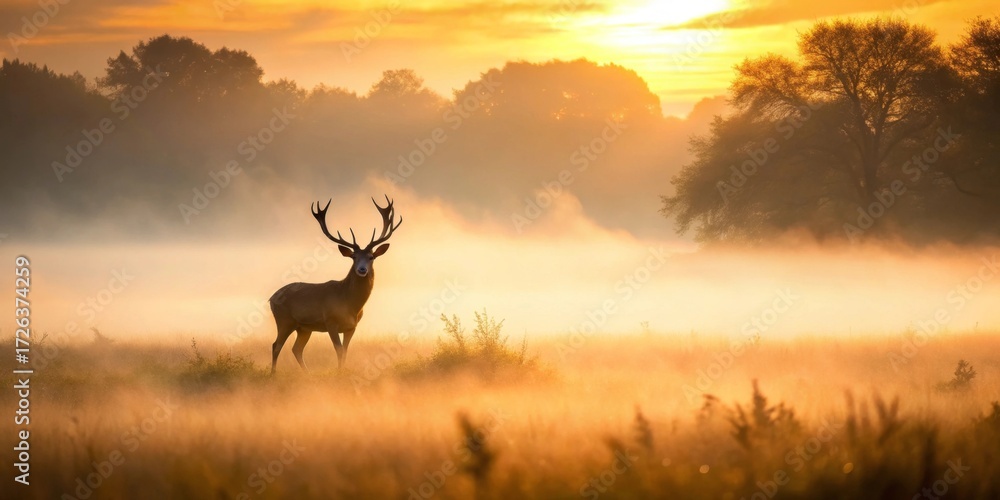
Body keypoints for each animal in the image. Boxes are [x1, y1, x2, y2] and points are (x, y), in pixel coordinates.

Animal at [268, 195, 402, 375]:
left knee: (296, 348)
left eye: (371, 257)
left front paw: (342, 371)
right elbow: (338, 349)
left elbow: (345, 351)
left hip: (304, 328)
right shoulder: (330, 321)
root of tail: (271, 298)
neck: (350, 304)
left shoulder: (352, 326)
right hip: (284, 319)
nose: (362, 269)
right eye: (353, 257)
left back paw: (307, 374)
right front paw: (339, 373)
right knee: (276, 345)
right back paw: (273, 374)